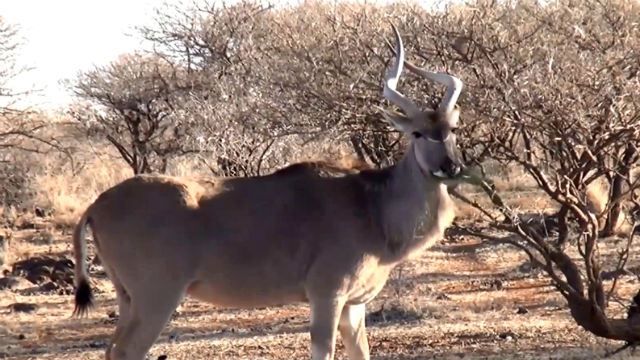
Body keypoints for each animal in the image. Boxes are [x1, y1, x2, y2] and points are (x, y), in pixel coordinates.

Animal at [72, 25, 468, 360]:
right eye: (417, 132)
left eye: (452, 129)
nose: (450, 167)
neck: (370, 204)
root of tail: (98, 204)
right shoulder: (327, 295)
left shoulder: (354, 307)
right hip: (156, 298)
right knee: (126, 351)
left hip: (129, 300)